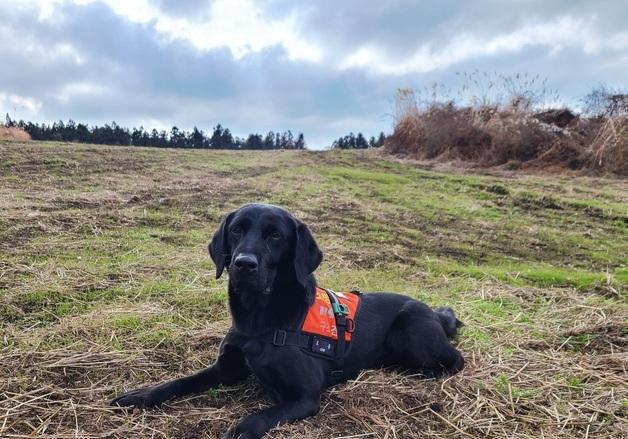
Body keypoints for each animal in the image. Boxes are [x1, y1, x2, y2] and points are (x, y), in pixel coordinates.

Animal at [113, 205, 464, 438]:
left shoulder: (306, 397)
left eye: (275, 236)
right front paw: (141, 395)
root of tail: (434, 312)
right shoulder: (226, 369)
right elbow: (181, 381)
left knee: (455, 359)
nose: (244, 264)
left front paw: (239, 430)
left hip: (409, 328)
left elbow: (258, 417)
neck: (257, 319)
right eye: (237, 230)